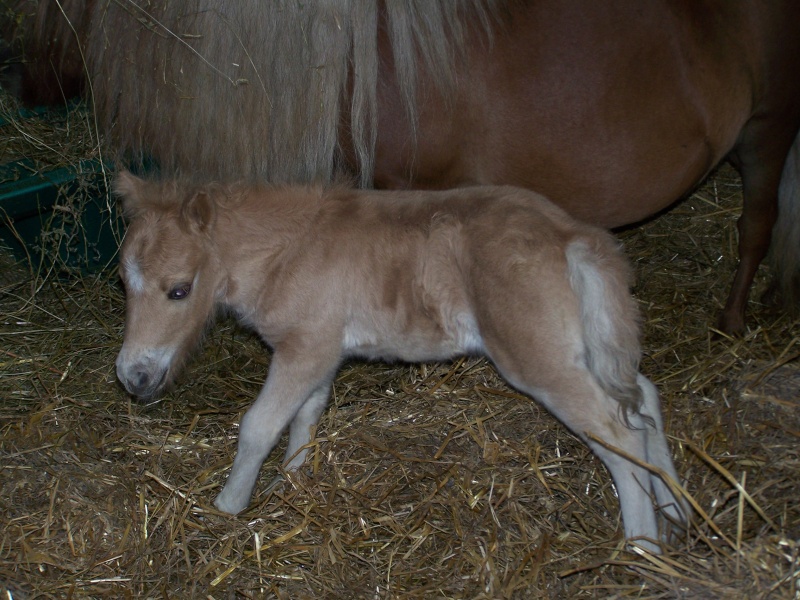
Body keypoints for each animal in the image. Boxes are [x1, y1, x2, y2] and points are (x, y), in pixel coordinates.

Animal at [114, 171, 688, 552]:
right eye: (124, 283)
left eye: (179, 289)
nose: (132, 376)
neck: (287, 250)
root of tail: (572, 237)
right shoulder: (322, 350)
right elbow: (306, 417)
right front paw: (295, 484)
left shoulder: (304, 348)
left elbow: (259, 426)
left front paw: (228, 508)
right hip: (590, 345)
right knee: (644, 396)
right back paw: (677, 509)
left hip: (538, 359)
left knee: (618, 432)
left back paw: (643, 548)